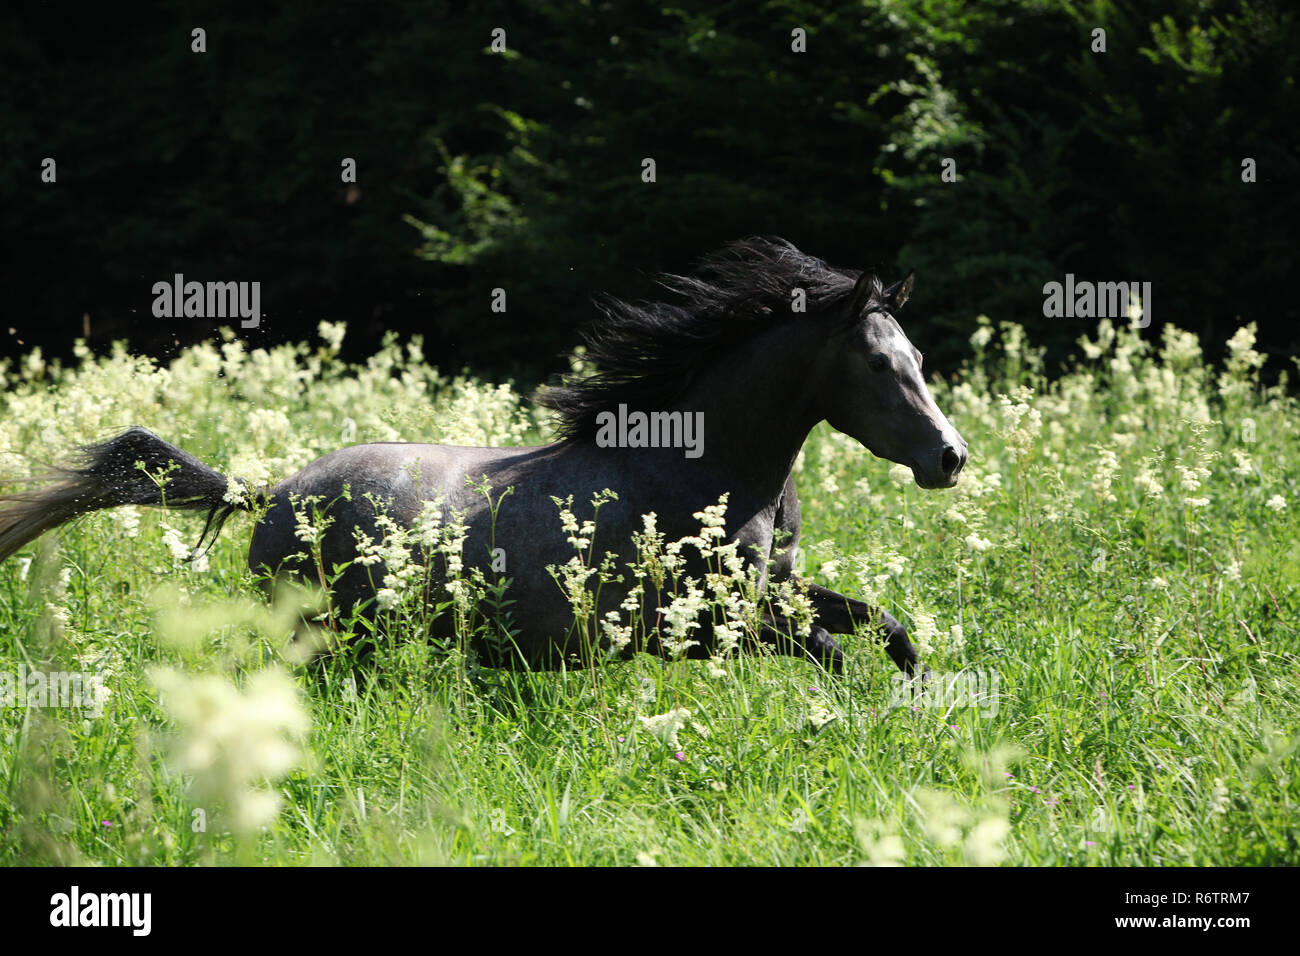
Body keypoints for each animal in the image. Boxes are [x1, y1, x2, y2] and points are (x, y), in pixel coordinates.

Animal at [0, 237, 967, 676]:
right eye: (879, 364)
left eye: (918, 354)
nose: (950, 458)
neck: (706, 470)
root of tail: (271, 494)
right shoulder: (700, 624)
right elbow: (831, 650)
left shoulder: (769, 593)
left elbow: (885, 628)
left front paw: (922, 707)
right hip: (324, 636)